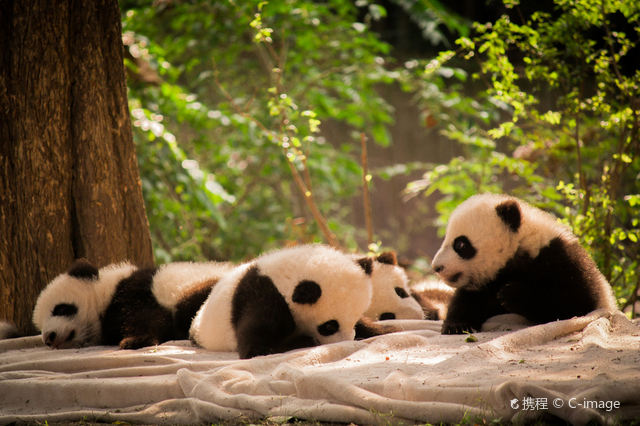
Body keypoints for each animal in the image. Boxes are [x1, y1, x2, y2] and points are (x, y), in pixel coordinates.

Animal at [33, 259, 233, 349]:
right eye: (40, 327)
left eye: (60, 308)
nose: (49, 337)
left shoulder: (136, 290)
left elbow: (145, 316)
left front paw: (136, 340)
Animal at [189, 244, 375, 359]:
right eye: (329, 326)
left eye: (353, 321)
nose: (346, 341)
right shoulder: (264, 296)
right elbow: (256, 349)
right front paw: (304, 341)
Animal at [431, 193, 617, 334]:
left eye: (461, 244)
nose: (437, 267)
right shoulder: (486, 280)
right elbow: (468, 299)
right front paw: (457, 326)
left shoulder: (562, 260)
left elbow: (575, 303)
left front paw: (510, 294)